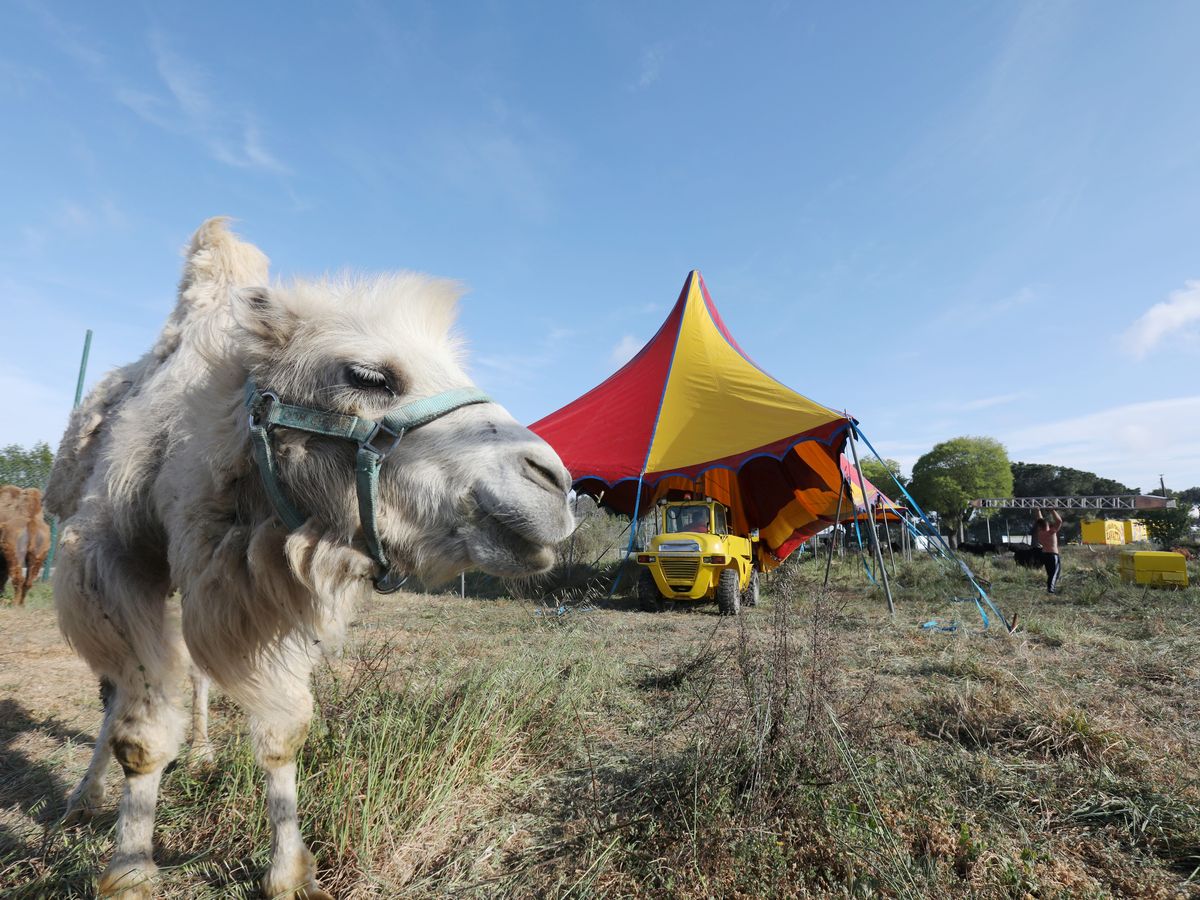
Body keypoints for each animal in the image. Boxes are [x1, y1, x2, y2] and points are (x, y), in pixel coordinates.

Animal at [46, 220, 571, 900]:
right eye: (368, 375)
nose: (556, 484)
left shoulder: (267, 589)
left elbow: (283, 730)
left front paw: (288, 873)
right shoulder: (112, 560)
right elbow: (140, 733)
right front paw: (130, 869)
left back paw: (203, 753)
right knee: (117, 692)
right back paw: (84, 796)